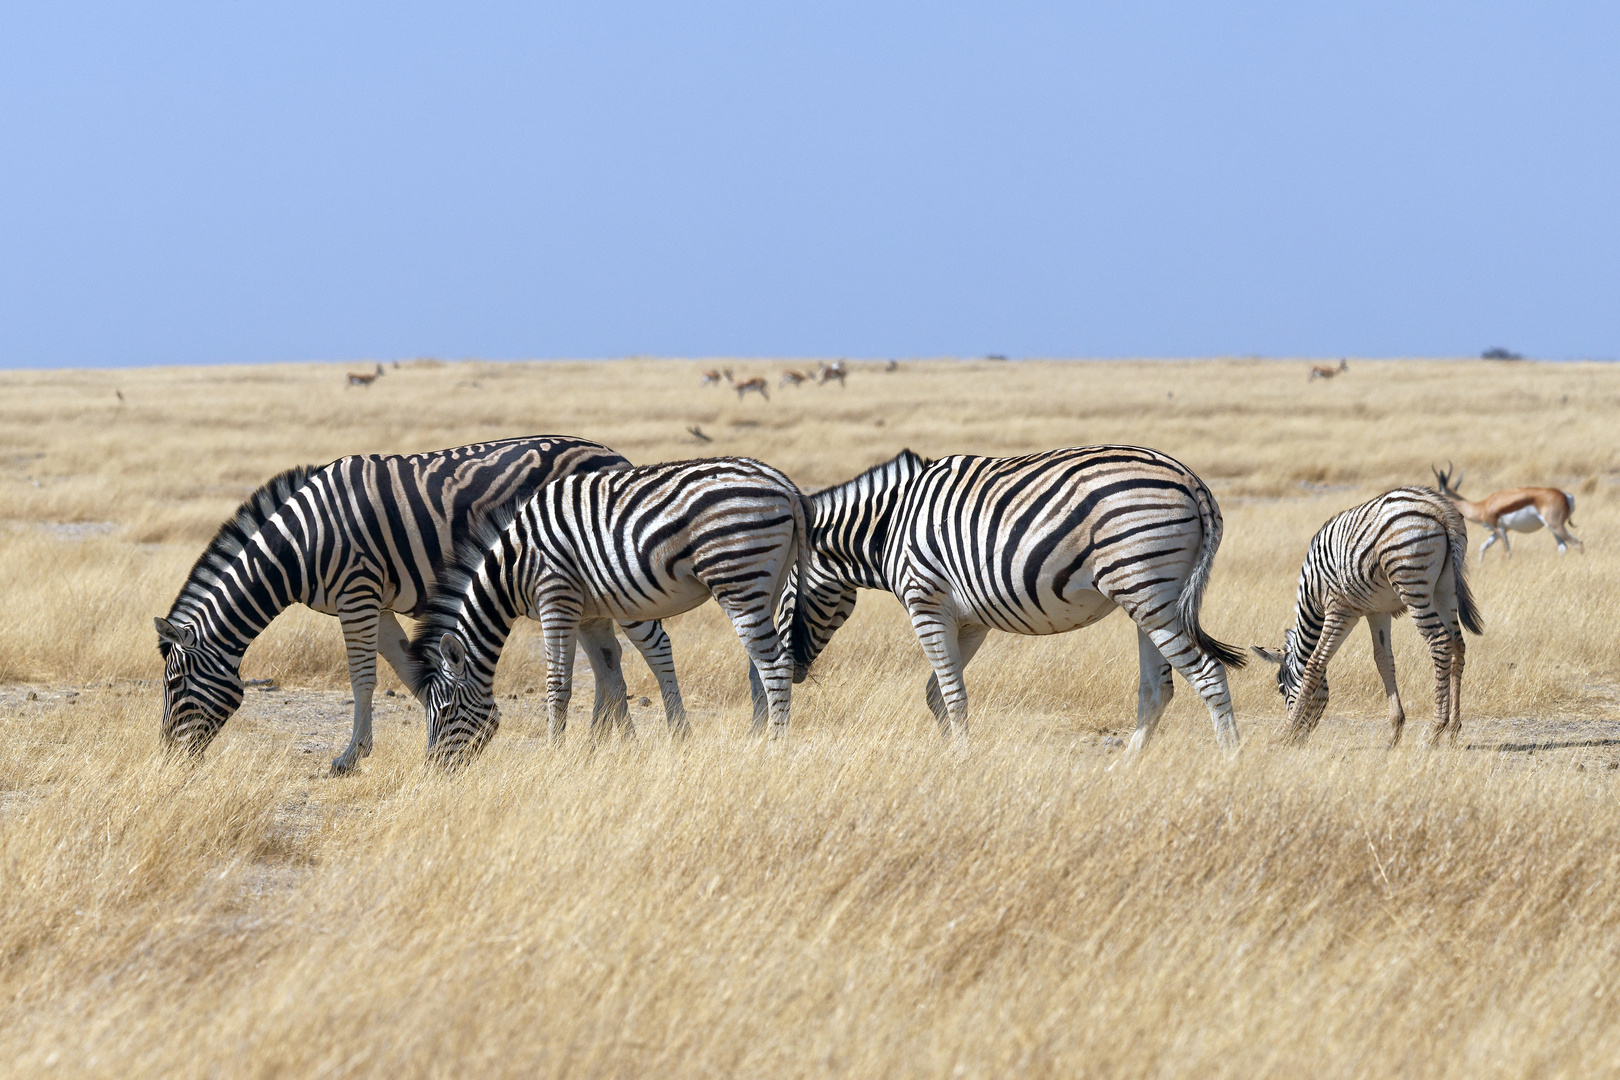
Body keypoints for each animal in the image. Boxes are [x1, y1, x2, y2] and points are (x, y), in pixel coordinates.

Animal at [154, 433, 680, 773]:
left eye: (175, 683)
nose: (166, 758)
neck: (300, 545)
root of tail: (613, 454)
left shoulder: (358, 590)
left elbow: (363, 677)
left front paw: (350, 757)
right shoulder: (375, 603)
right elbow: (408, 669)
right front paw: (453, 725)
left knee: (653, 646)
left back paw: (667, 736)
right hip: (583, 587)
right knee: (608, 659)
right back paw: (610, 747)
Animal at [405, 456, 810, 761]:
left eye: (446, 711)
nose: (435, 769)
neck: (513, 566)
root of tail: (784, 486)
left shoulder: (556, 597)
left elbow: (558, 683)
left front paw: (554, 753)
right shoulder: (591, 615)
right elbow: (612, 679)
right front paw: (628, 748)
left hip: (737, 577)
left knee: (775, 663)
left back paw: (775, 746)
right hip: (765, 584)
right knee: (758, 665)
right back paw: (756, 740)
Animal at [777, 443, 1244, 757]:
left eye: (781, 602)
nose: (794, 673)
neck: (888, 526)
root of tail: (1191, 480)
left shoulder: (925, 603)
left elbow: (952, 694)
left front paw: (961, 760)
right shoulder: (969, 620)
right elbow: (937, 694)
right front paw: (952, 755)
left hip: (1144, 587)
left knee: (1207, 674)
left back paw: (1230, 761)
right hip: (1153, 598)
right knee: (1157, 688)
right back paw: (1126, 766)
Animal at [1244, 488, 1483, 748]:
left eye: (1280, 688)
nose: (1299, 739)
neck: (1313, 593)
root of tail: (1437, 507)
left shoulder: (1339, 610)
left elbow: (1315, 662)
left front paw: (1285, 731)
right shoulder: (1377, 611)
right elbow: (1383, 660)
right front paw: (1394, 732)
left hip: (1412, 583)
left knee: (1439, 641)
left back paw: (1434, 730)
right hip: (1445, 588)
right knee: (1458, 644)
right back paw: (1453, 729)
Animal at [1432, 466, 1581, 566]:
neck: (1483, 507)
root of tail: (1566, 496)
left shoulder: (1500, 530)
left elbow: (1508, 552)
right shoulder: (1496, 532)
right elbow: (1483, 547)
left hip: (1556, 526)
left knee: (1578, 543)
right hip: (1552, 528)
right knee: (1563, 548)